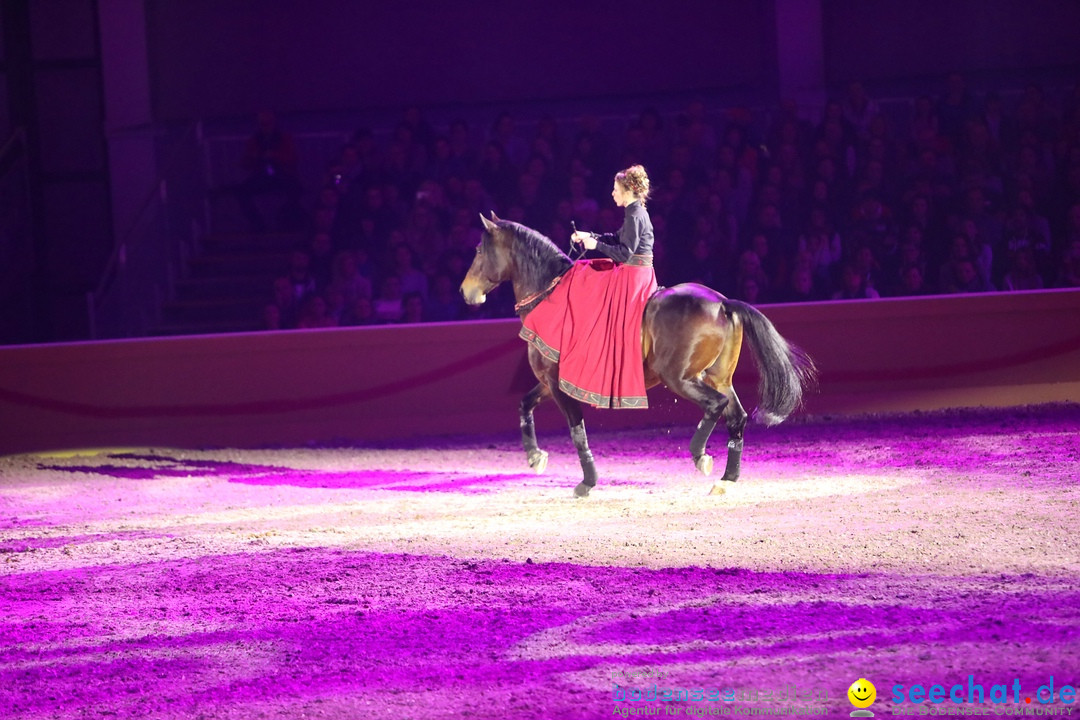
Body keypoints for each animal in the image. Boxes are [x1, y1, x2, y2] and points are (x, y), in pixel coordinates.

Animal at [460, 211, 812, 498]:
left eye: (478, 250)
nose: (466, 292)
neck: (550, 295)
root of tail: (723, 303)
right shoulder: (548, 383)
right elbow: (525, 403)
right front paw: (535, 457)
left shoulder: (559, 384)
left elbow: (577, 431)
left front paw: (587, 482)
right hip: (718, 377)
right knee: (735, 416)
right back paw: (726, 480)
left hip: (680, 378)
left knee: (716, 405)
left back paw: (700, 455)